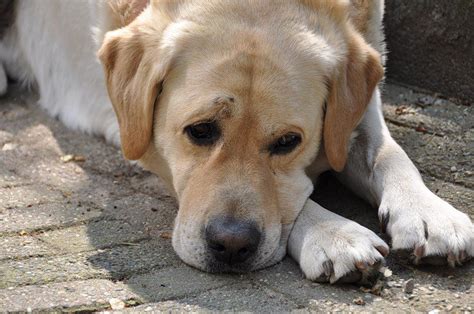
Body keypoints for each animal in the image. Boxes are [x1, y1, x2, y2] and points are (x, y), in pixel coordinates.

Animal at [1, 0, 472, 284]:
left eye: (288, 141)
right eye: (199, 131)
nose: (231, 246)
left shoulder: (362, 101)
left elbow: (389, 154)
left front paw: (430, 213)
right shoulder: (140, 137)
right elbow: (297, 203)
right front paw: (333, 232)